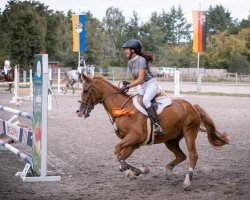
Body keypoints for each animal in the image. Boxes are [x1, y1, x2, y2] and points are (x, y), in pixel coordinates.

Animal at [76, 74, 229, 190]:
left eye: (85, 90)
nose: (78, 111)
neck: (122, 109)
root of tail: (193, 106)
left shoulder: (134, 137)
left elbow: (117, 151)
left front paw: (131, 171)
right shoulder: (132, 143)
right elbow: (121, 158)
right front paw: (139, 171)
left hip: (189, 133)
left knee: (193, 156)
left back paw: (187, 180)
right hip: (171, 140)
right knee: (181, 156)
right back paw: (168, 170)